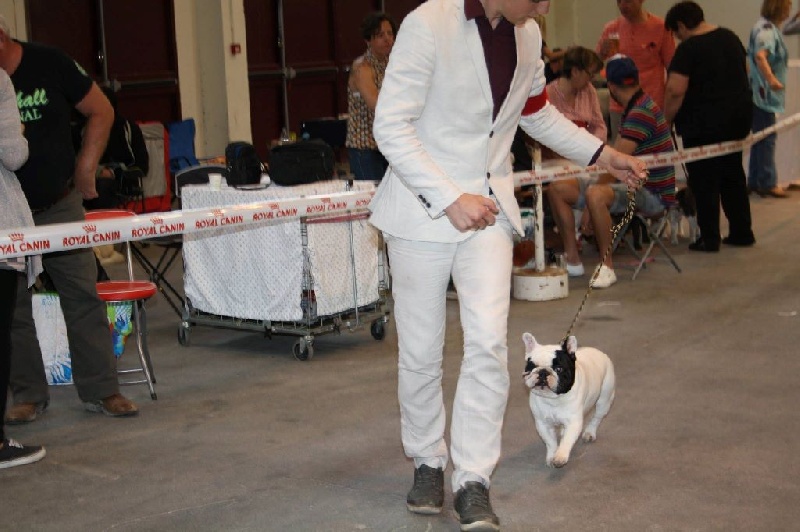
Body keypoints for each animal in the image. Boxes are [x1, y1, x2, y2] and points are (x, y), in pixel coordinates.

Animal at [522, 333, 615, 468]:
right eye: (533, 366)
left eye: (559, 369)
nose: (543, 372)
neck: (553, 398)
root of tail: (598, 352)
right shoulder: (543, 424)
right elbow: (550, 441)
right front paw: (552, 455)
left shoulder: (573, 422)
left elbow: (567, 440)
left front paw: (560, 456)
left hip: (604, 399)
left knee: (597, 418)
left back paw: (590, 432)